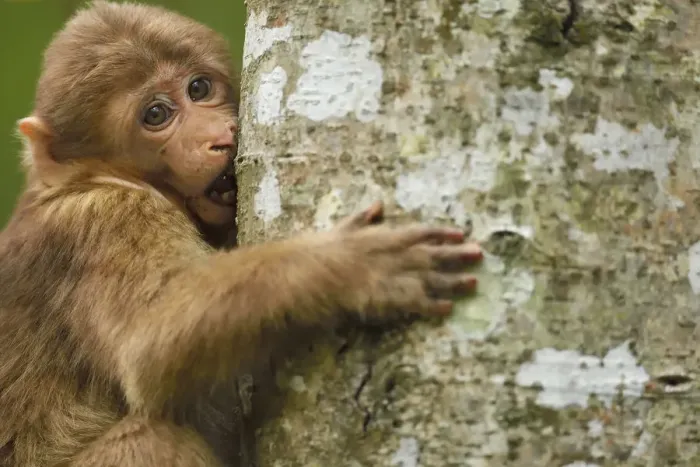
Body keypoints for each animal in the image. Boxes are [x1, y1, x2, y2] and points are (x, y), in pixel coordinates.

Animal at [0, 2, 483, 466]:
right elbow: (149, 341)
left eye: (199, 89)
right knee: (155, 442)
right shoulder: (103, 221)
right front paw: (349, 266)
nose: (217, 137)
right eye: (156, 114)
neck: (91, 178)